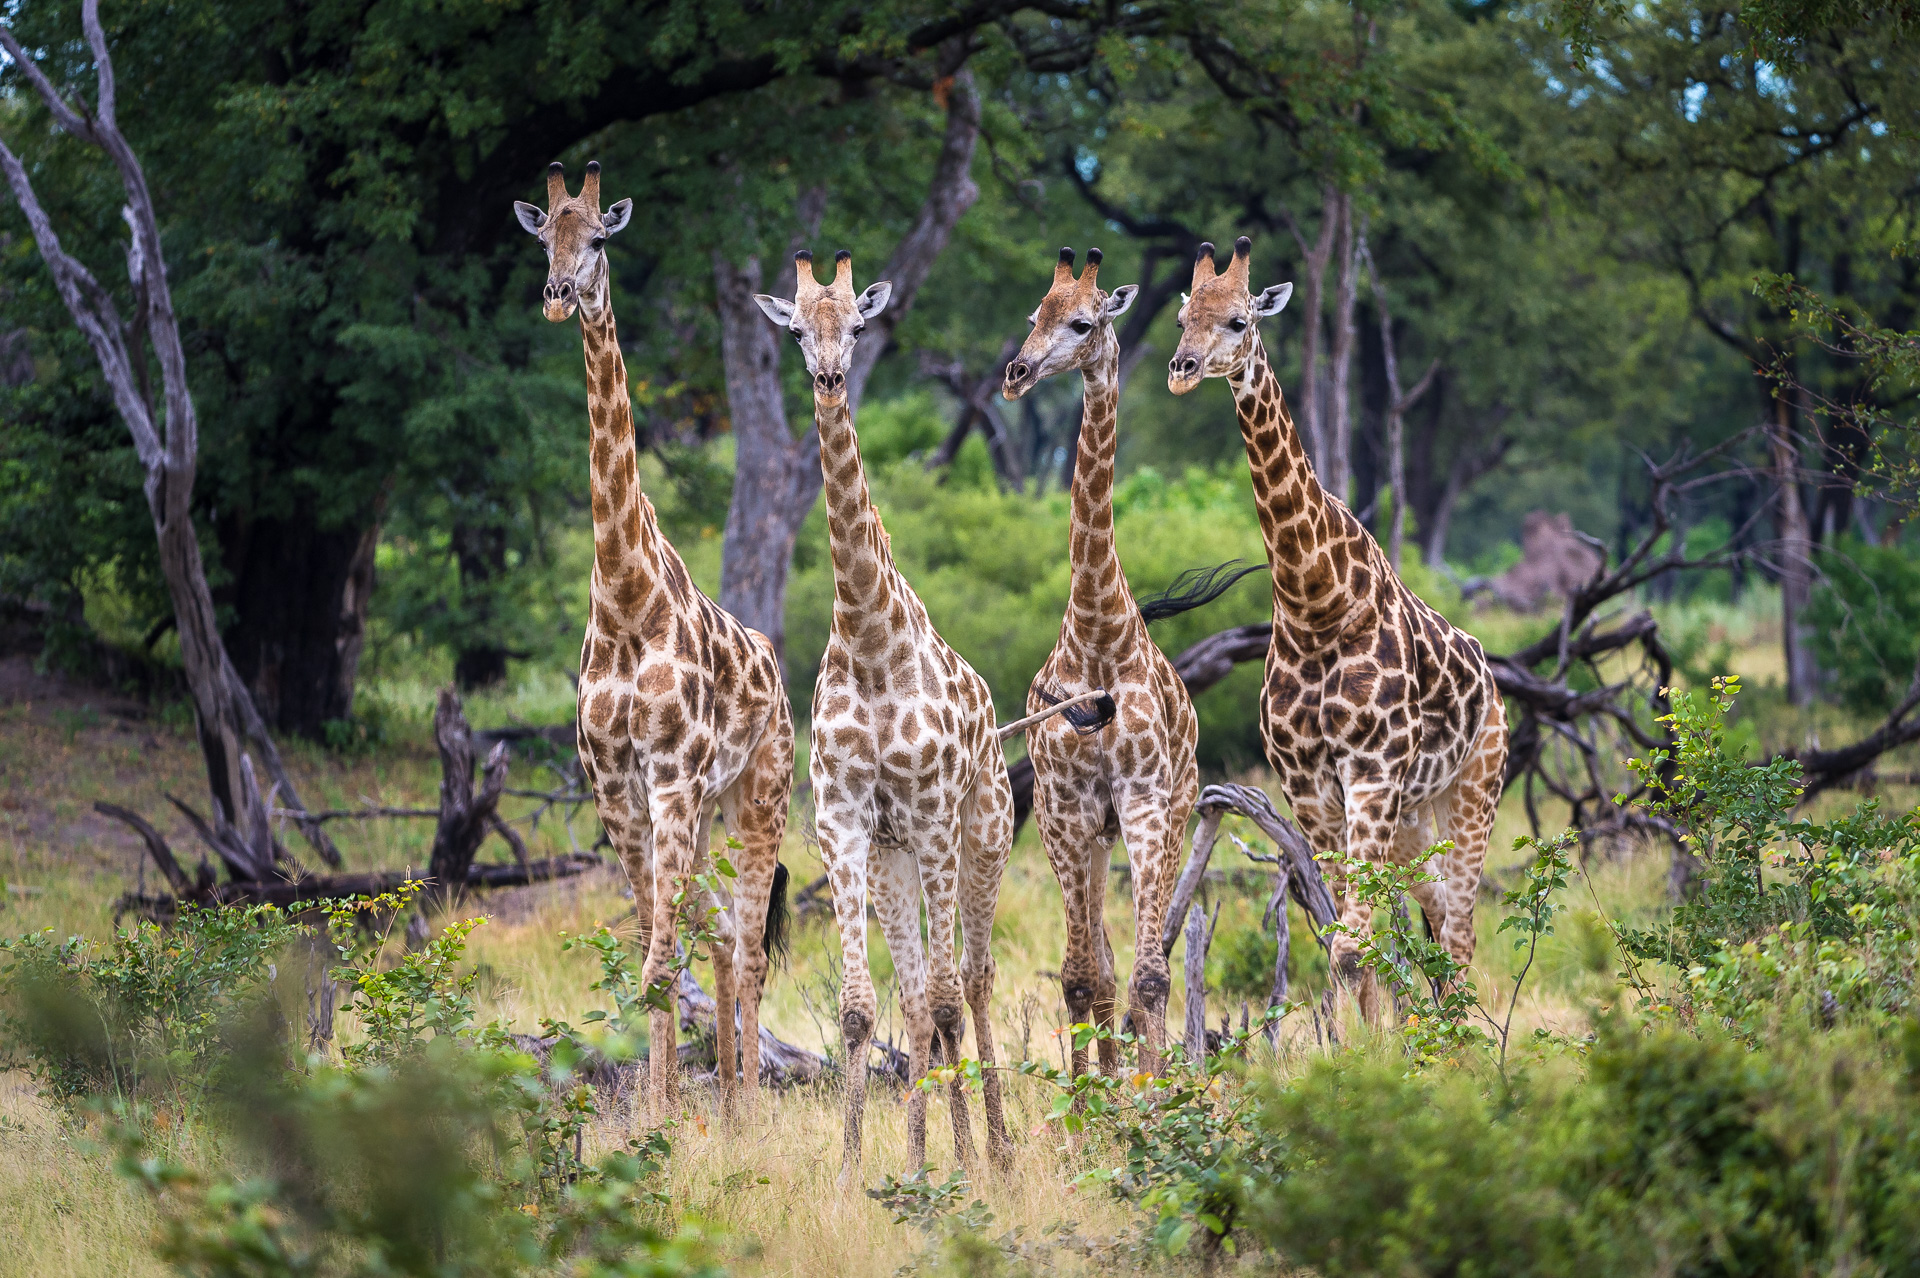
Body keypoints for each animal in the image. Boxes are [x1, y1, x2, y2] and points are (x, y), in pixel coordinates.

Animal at [515, 162, 795, 1117]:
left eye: (600, 236)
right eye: (542, 237)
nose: (558, 296)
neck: (626, 597)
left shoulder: (671, 779)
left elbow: (660, 962)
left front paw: (675, 1116)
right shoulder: (617, 789)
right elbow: (652, 956)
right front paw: (663, 1113)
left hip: (759, 794)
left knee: (745, 948)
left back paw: (749, 1105)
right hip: (707, 811)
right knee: (719, 940)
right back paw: (733, 1102)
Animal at [753, 250, 1015, 1186]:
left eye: (860, 326)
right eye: (798, 328)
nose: (831, 378)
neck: (868, 638)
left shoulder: (934, 820)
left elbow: (941, 998)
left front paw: (946, 1162)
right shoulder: (843, 823)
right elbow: (867, 1008)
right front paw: (858, 1167)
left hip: (981, 837)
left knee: (970, 981)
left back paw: (997, 1152)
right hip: (898, 859)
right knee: (921, 993)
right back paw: (945, 1147)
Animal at [1001, 247, 1258, 1076]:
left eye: (1084, 323)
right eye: (1034, 316)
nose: (1017, 372)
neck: (1097, 629)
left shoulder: (1144, 803)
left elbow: (1148, 975)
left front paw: (1148, 1096)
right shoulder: (1066, 807)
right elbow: (1085, 975)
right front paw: (1090, 1096)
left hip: (1174, 810)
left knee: (1149, 963)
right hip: (1093, 830)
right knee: (1101, 965)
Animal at [1166, 236, 1508, 1023]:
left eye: (1237, 320)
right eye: (1182, 317)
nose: (1181, 370)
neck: (1316, 602)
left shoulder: (1372, 772)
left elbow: (1354, 947)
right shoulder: (1310, 788)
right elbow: (1349, 945)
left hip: (1473, 791)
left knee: (1462, 935)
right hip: (1414, 818)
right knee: (1438, 921)